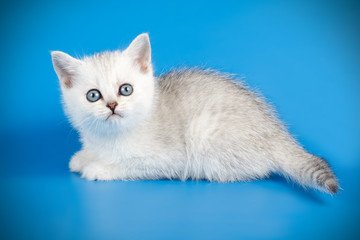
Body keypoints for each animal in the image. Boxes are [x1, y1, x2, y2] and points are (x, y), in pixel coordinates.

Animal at [50, 33, 338, 194]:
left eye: (126, 89)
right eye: (93, 95)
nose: (112, 105)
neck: (110, 138)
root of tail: (276, 131)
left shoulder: (165, 159)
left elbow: (128, 165)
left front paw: (98, 167)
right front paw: (83, 157)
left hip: (206, 135)